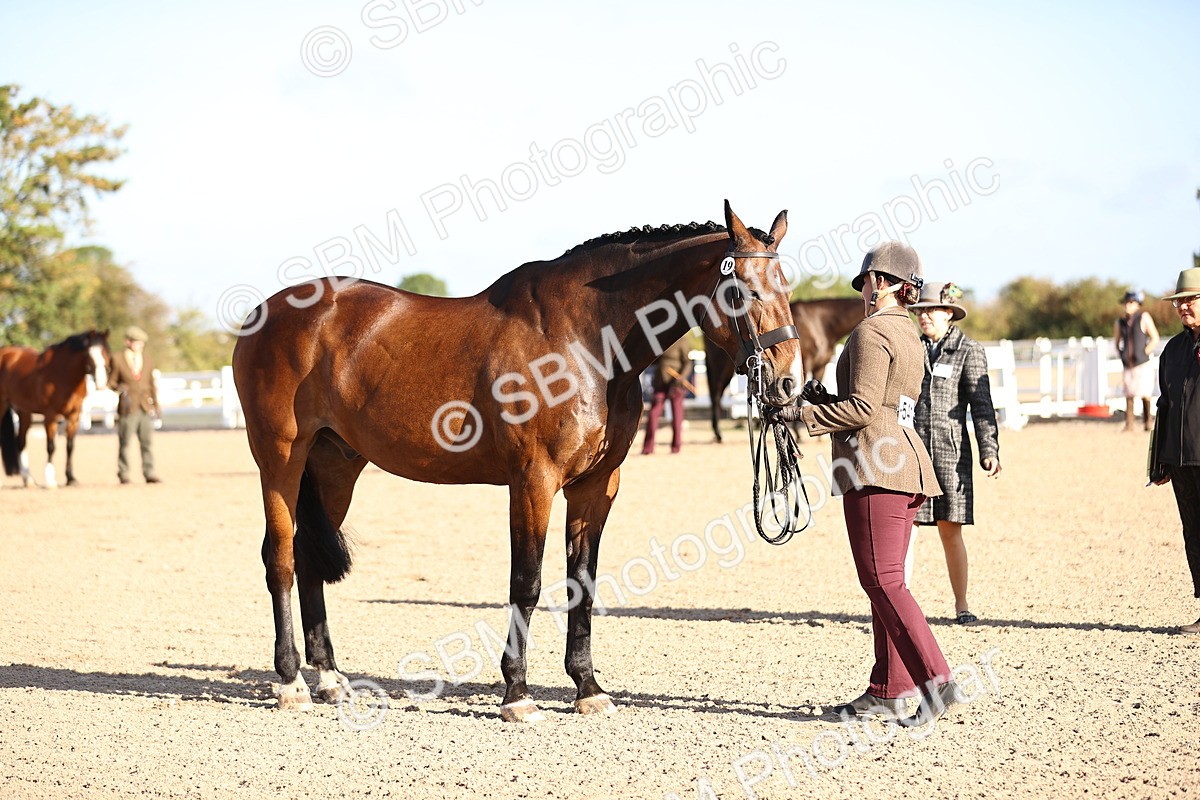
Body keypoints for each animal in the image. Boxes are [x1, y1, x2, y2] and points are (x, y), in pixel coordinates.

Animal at [0, 330, 112, 487]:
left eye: (106, 350)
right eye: (88, 353)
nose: (101, 381)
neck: (64, 375)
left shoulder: (73, 417)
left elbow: (70, 446)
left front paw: (71, 478)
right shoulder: (51, 416)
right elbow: (51, 446)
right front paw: (50, 480)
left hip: (23, 411)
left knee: (21, 442)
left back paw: (28, 479)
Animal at [232, 201, 804, 721]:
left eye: (787, 288)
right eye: (743, 290)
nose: (785, 384)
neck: (584, 340)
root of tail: (266, 313)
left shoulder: (596, 486)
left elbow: (582, 583)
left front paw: (588, 688)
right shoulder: (533, 482)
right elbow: (526, 582)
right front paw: (517, 695)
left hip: (335, 465)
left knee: (309, 559)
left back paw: (329, 679)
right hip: (280, 460)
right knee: (281, 559)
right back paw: (291, 683)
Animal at [705, 297, 862, 442]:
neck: (819, 323)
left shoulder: (820, 367)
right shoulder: (804, 363)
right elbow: (798, 399)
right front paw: (797, 433)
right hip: (721, 367)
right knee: (716, 394)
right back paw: (718, 434)